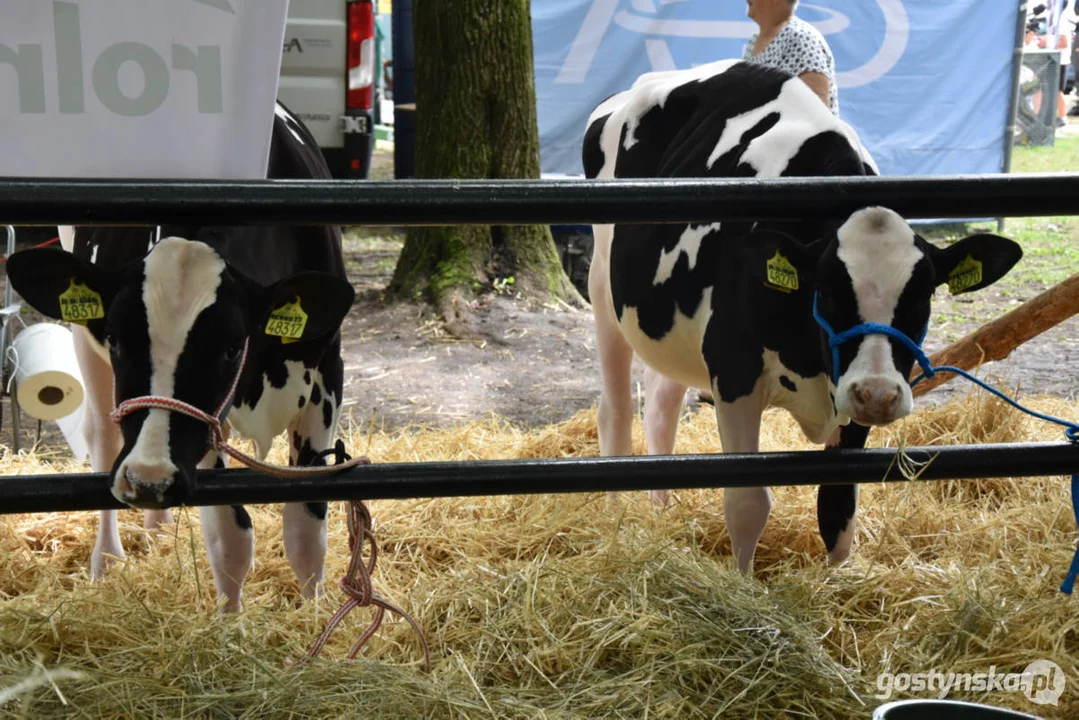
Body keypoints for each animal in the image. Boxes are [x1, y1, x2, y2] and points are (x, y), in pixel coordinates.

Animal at [6, 102, 356, 608]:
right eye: (117, 339)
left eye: (231, 346)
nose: (148, 480)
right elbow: (231, 537)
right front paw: (230, 623)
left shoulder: (328, 373)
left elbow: (307, 532)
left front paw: (316, 615)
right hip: (80, 336)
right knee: (102, 439)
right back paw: (107, 560)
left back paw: (156, 529)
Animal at [582, 59, 1018, 569]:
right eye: (825, 292)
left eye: (922, 296)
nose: (878, 395)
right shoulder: (733, 372)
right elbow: (747, 504)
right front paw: (742, 582)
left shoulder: (845, 395)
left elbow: (838, 503)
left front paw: (837, 578)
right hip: (602, 286)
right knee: (614, 410)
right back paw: (614, 521)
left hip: (674, 325)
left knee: (662, 404)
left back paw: (661, 510)